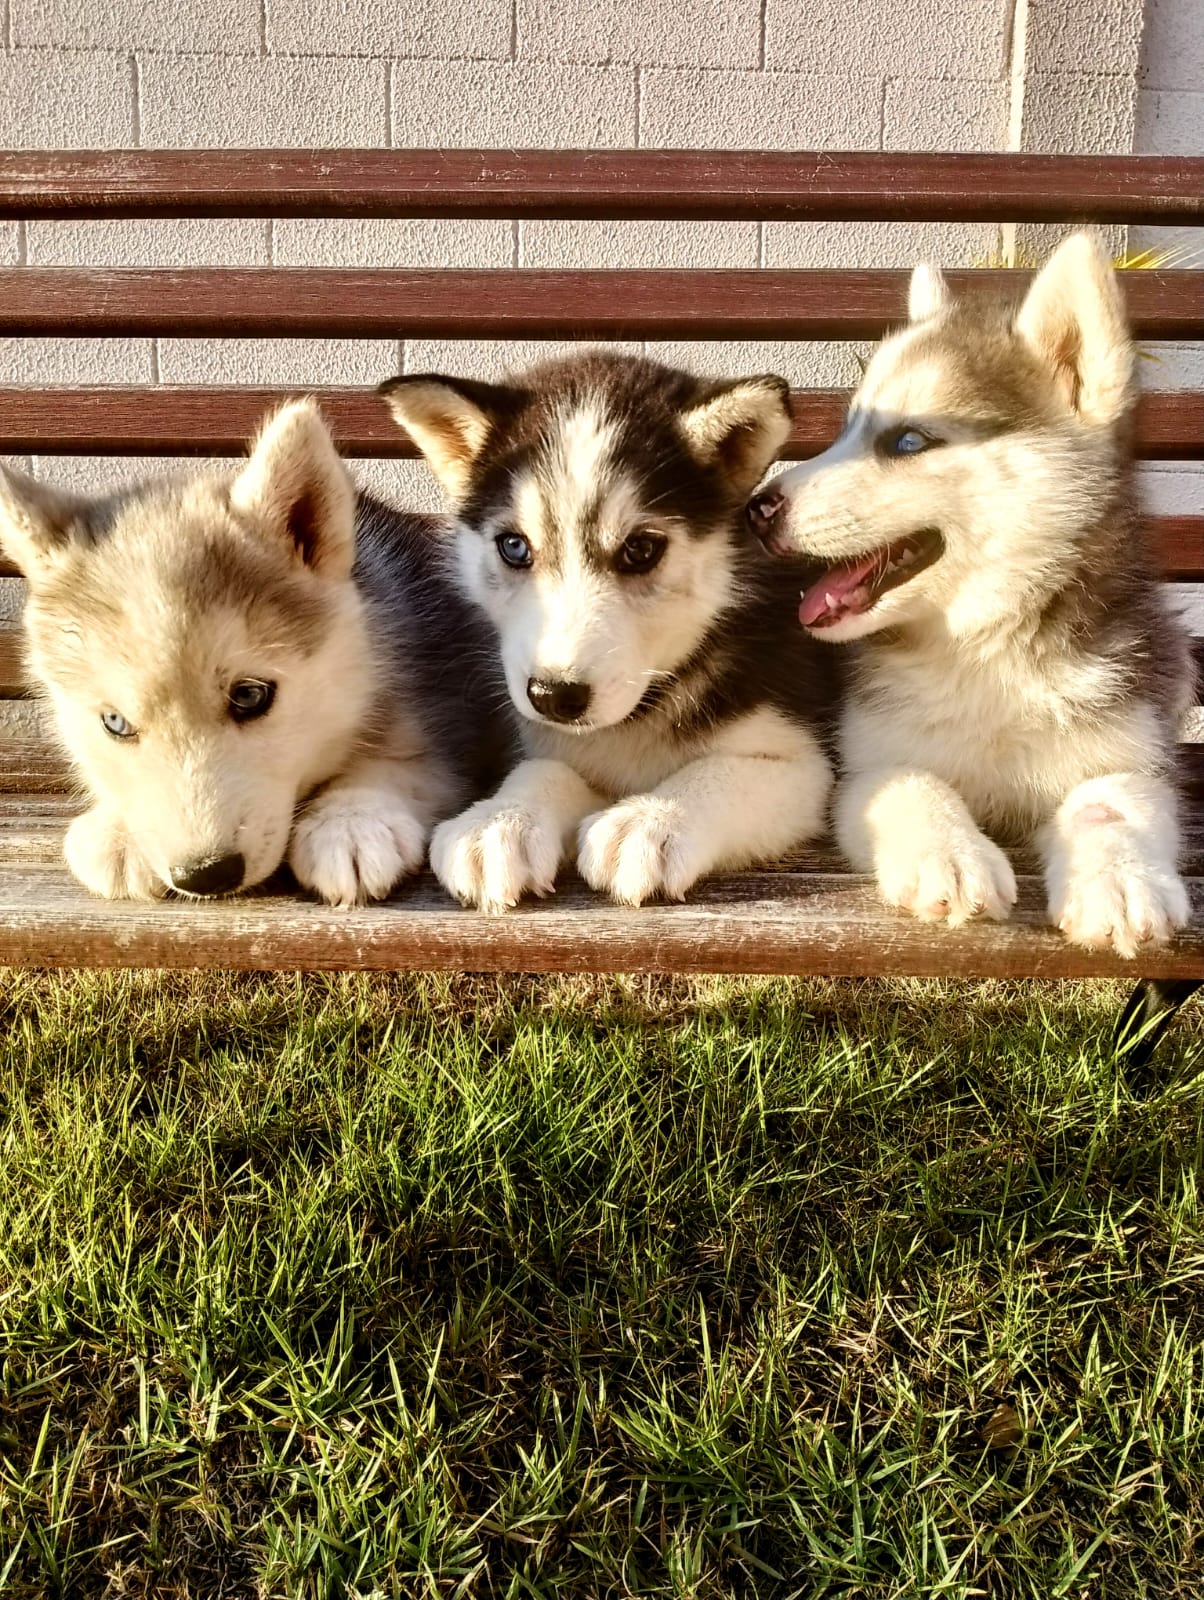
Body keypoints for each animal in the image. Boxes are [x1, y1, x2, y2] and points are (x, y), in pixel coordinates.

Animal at [0, 398, 499, 902]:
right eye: (115, 722)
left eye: (249, 696)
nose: (206, 875)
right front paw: (118, 829)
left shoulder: (444, 715)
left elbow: (402, 766)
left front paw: (351, 821)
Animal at [382, 352, 838, 915]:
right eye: (514, 546)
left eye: (640, 550)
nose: (554, 696)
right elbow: (545, 770)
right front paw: (500, 821)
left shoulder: (802, 762)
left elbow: (721, 773)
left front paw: (651, 819)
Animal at [752, 232, 1197, 953]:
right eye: (847, 429)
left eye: (907, 439)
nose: (757, 508)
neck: (984, 651)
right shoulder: (867, 765)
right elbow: (912, 781)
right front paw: (949, 854)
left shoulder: (1127, 752)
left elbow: (1109, 802)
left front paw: (1121, 880)